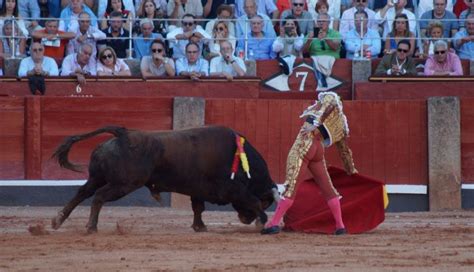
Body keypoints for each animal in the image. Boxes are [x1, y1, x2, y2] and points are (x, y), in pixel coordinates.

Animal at [50, 125, 278, 234]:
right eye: (268, 202)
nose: (245, 219)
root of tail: (123, 135)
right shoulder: (231, 189)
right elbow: (252, 200)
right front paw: (263, 222)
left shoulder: (198, 190)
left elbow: (198, 208)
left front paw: (200, 227)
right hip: (124, 184)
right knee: (98, 197)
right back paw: (91, 227)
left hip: (98, 177)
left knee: (83, 192)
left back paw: (58, 220)